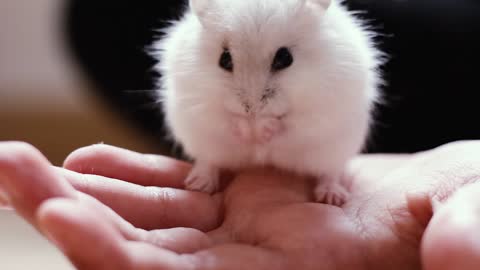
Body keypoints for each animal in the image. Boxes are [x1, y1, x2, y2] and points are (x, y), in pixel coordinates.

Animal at [154, 0, 382, 205]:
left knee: (330, 172)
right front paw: (250, 133)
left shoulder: (321, 110)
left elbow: (289, 124)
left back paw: (332, 197)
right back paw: (198, 184)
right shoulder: (199, 103)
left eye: (285, 58)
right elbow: (226, 120)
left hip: (334, 151)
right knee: (208, 161)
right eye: (224, 59)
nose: (251, 110)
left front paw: (262, 132)